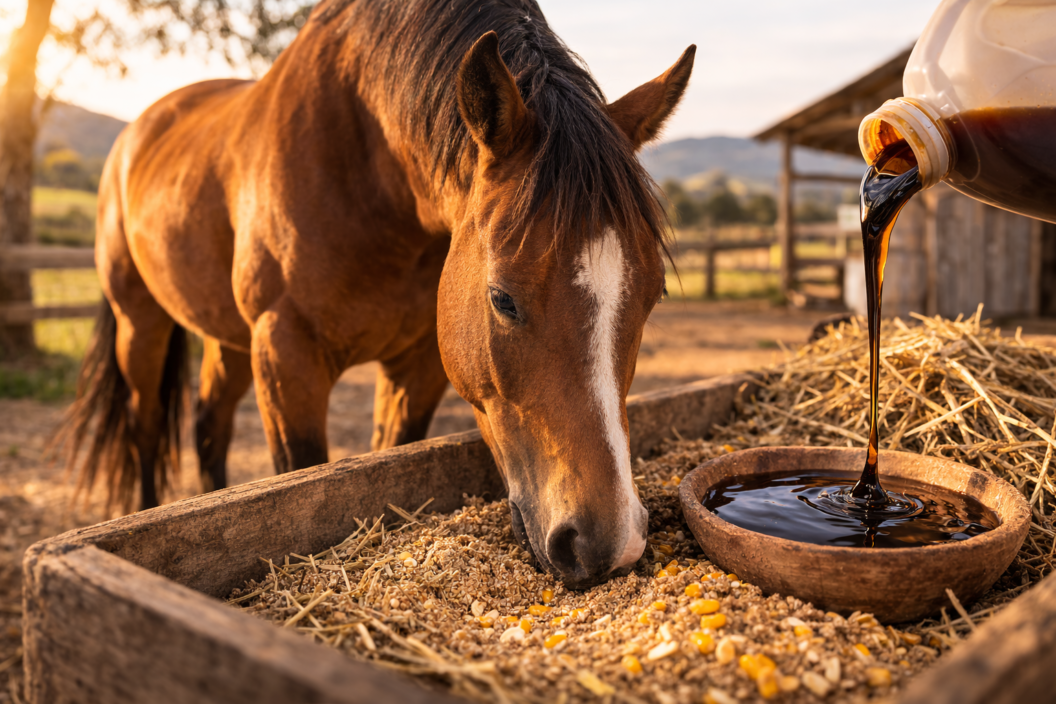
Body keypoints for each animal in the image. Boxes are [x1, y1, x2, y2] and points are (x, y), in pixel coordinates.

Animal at [57, 0, 694, 588]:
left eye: (653, 296)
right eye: (502, 299)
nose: (609, 545)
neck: (367, 163)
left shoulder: (416, 364)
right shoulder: (286, 354)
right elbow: (296, 475)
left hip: (229, 338)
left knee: (209, 427)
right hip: (141, 322)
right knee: (144, 426)